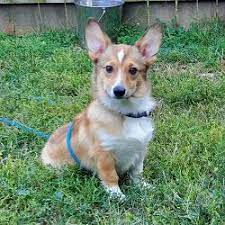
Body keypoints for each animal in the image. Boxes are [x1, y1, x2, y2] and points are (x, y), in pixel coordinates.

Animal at [41, 18, 162, 199]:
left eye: (133, 70)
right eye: (109, 68)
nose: (118, 91)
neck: (125, 112)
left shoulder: (141, 149)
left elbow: (137, 172)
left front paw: (143, 186)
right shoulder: (104, 153)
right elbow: (111, 176)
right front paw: (117, 195)